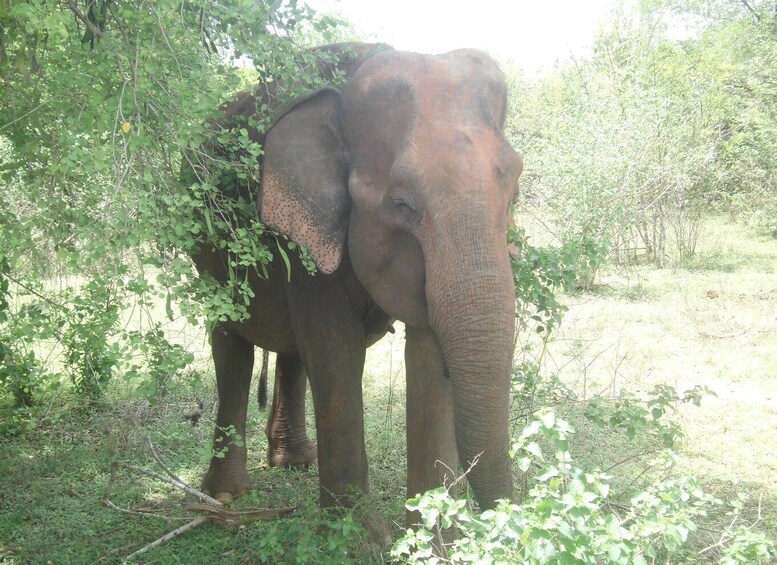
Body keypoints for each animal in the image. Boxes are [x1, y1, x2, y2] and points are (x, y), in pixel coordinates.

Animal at [184, 41, 520, 528]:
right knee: (232, 346)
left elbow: (425, 354)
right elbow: (336, 350)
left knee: (290, 351)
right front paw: (360, 534)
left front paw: (430, 536)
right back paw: (225, 497)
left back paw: (295, 461)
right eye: (401, 204)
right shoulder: (303, 229)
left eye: (515, 192)